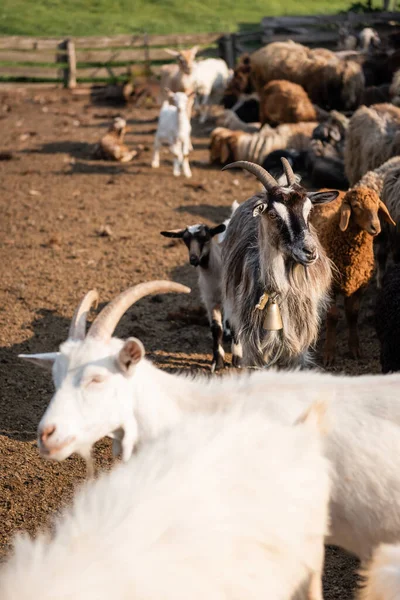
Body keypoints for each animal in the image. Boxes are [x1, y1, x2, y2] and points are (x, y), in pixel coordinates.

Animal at [222, 157, 338, 368]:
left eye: (309, 211)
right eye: (273, 214)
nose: (310, 251)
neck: (277, 291)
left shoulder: (297, 346)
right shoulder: (255, 347)